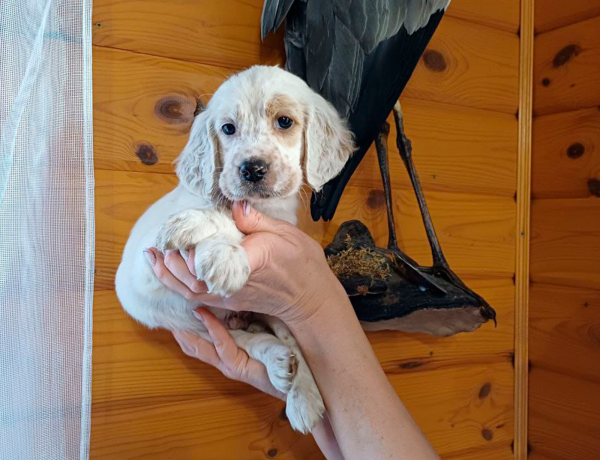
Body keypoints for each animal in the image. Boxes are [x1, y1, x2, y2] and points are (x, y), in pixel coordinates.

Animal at [115, 66, 355, 433]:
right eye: (228, 128)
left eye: (284, 121)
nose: (251, 169)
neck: (262, 208)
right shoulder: (150, 256)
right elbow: (219, 214)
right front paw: (219, 249)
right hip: (191, 320)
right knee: (242, 338)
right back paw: (276, 359)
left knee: (287, 337)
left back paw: (302, 392)